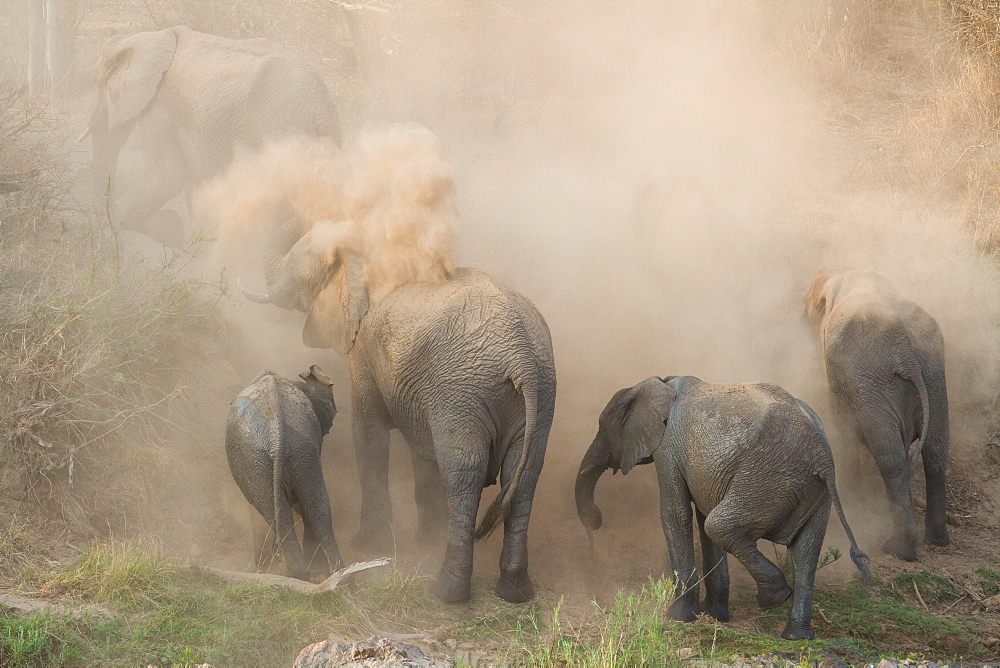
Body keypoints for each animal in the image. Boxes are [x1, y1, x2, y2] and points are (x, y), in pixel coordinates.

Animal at [226, 366, 342, 580]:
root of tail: (276, 438)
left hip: (263, 459)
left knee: (282, 512)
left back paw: (299, 575)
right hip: (296, 453)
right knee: (317, 509)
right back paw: (336, 577)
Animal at [239, 222, 560, 604]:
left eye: (294, 269)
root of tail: (520, 355)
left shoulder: (364, 346)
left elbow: (367, 431)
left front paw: (369, 545)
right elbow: (422, 451)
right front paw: (424, 539)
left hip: (462, 392)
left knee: (463, 474)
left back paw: (445, 592)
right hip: (539, 392)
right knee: (524, 477)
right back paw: (514, 592)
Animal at [576, 376, 872, 640]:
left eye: (602, 427)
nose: (595, 519)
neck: (658, 383)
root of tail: (823, 458)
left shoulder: (668, 449)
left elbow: (676, 515)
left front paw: (678, 617)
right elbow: (701, 517)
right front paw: (715, 616)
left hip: (766, 480)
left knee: (720, 526)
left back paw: (774, 599)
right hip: (813, 492)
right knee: (805, 554)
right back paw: (796, 635)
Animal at [804, 268, 952, 560]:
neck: (849, 274)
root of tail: (906, 352)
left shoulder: (841, 375)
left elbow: (845, 430)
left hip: (873, 387)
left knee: (890, 458)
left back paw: (899, 550)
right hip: (933, 380)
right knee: (935, 451)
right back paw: (937, 541)